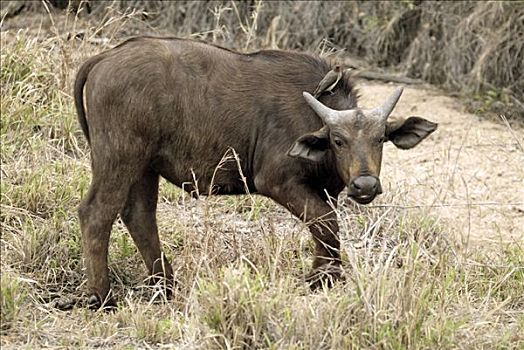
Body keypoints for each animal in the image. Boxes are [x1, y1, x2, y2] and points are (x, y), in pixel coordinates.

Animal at [74, 36, 438, 308]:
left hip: (144, 167)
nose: (364, 185)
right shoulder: (277, 180)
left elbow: (326, 228)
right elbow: (325, 222)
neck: (311, 114)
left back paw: (166, 287)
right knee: (97, 213)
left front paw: (324, 277)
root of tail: (105, 57)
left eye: (380, 139)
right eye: (338, 140)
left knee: (139, 215)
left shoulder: (325, 190)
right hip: (119, 158)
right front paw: (322, 278)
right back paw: (103, 297)